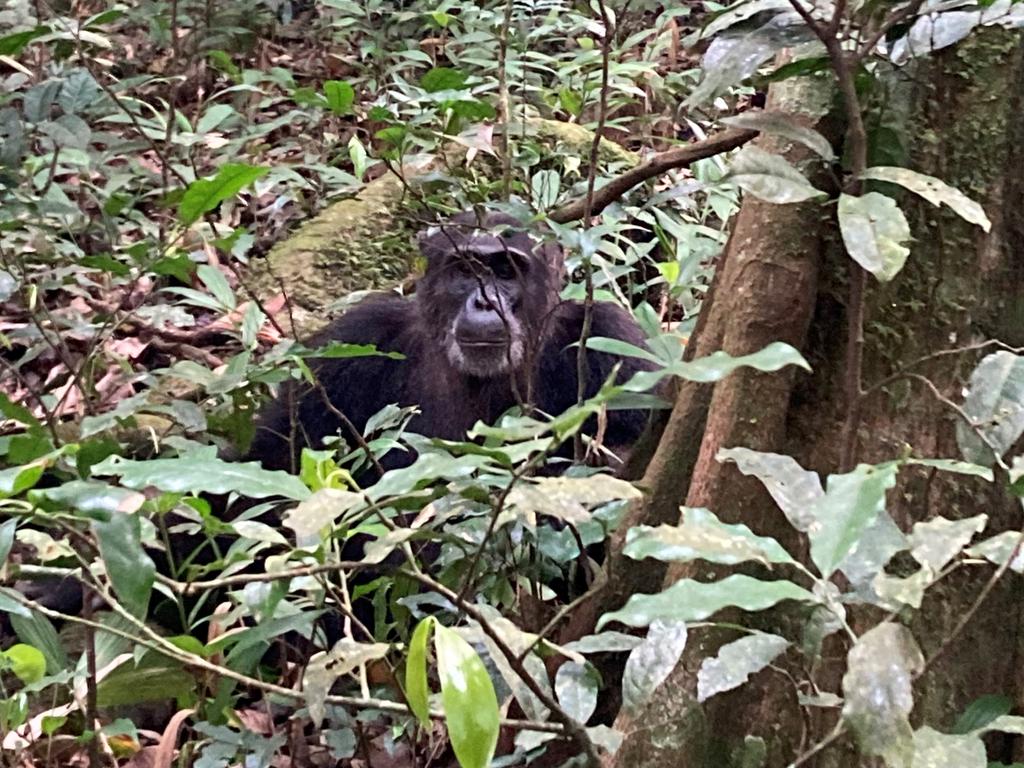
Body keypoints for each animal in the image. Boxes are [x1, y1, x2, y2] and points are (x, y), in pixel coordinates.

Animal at [243, 210, 651, 475]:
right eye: (466, 271)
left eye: (506, 271)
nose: (484, 302)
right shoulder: (355, 338)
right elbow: (272, 457)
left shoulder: (611, 337)